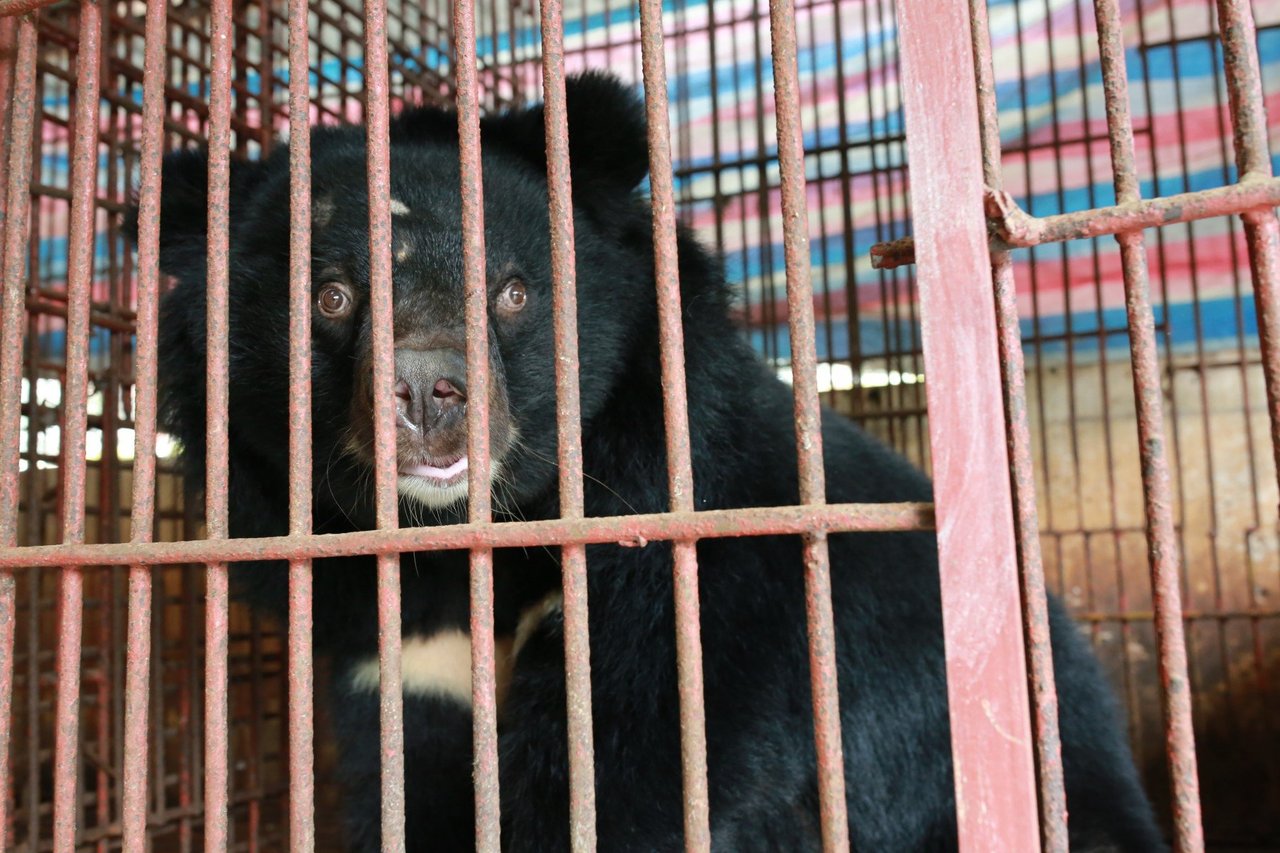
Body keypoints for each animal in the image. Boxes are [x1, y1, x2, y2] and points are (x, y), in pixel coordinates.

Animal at [129, 74, 1172, 850]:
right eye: (333, 297)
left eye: (512, 291)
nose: (426, 394)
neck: (468, 546)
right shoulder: (397, 655)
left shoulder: (698, 569)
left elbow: (629, 781)